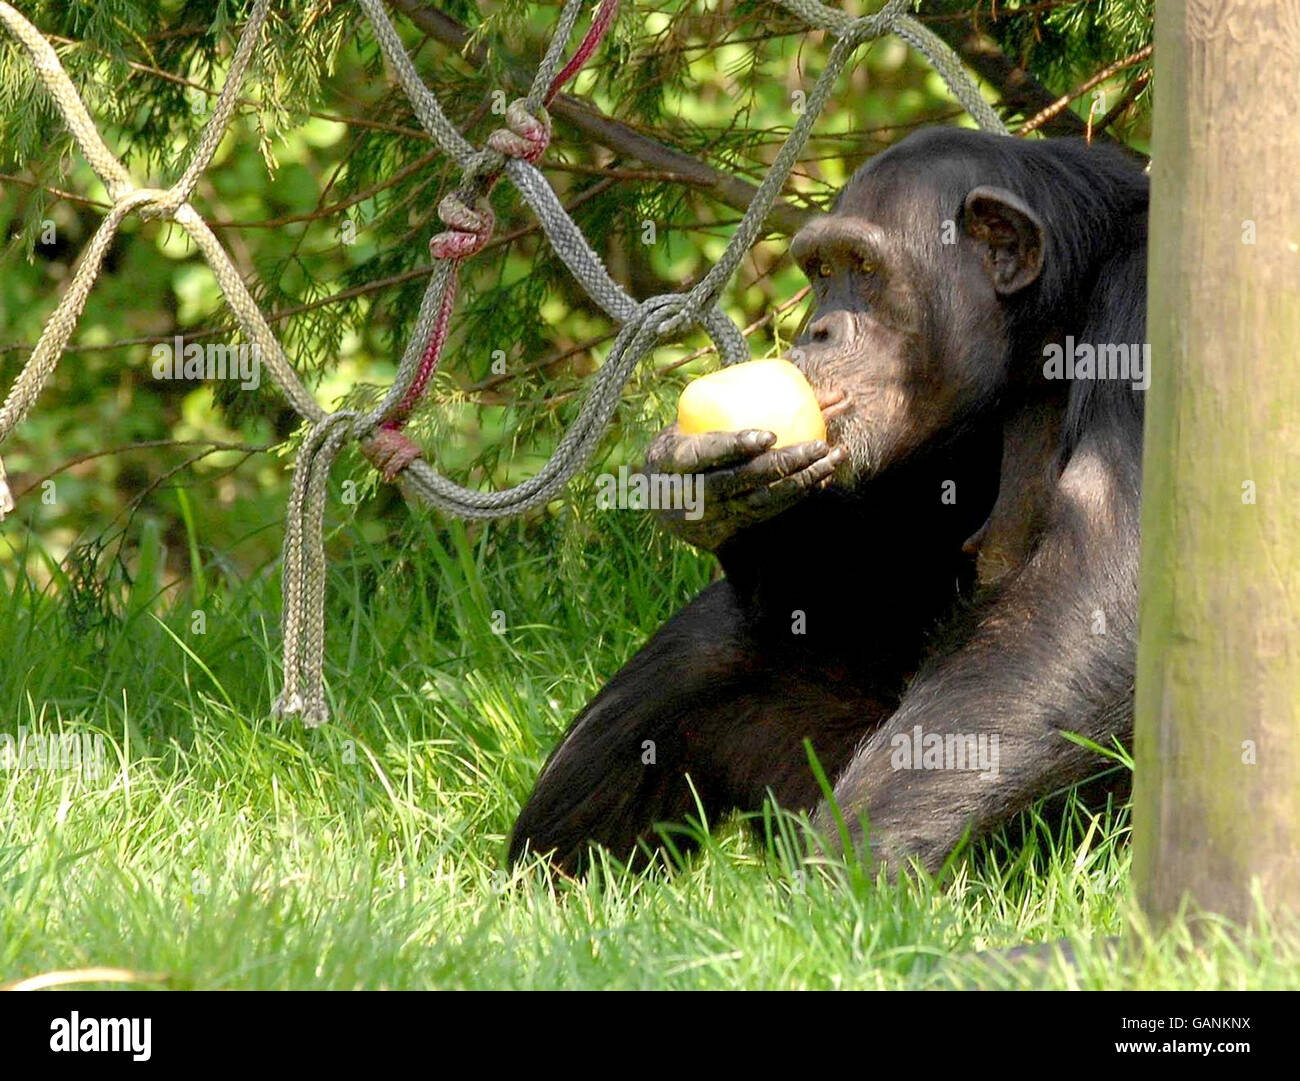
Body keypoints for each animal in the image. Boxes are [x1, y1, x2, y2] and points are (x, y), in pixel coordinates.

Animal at [506, 126, 1149, 873]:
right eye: (819, 270)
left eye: (863, 268)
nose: (816, 329)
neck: (1048, 324)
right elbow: (854, 586)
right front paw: (706, 488)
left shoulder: (1142, 314)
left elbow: (1100, 581)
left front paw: (853, 860)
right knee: (706, 647)